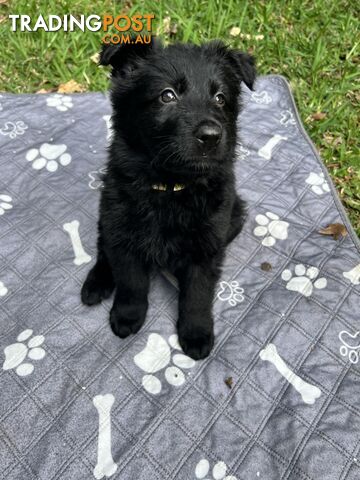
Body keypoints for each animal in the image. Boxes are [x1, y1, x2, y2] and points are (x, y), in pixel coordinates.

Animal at [82, 37, 256, 358]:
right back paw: (96, 283)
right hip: (108, 213)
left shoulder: (206, 246)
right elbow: (131, 281)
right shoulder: (124, 233)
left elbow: (198, 293)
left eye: (220, 98)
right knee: (103, 247)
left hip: (235, 215)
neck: (171, 186)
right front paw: (127, 315)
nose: (212, 135)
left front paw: (196, 333)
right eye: (167, 95)